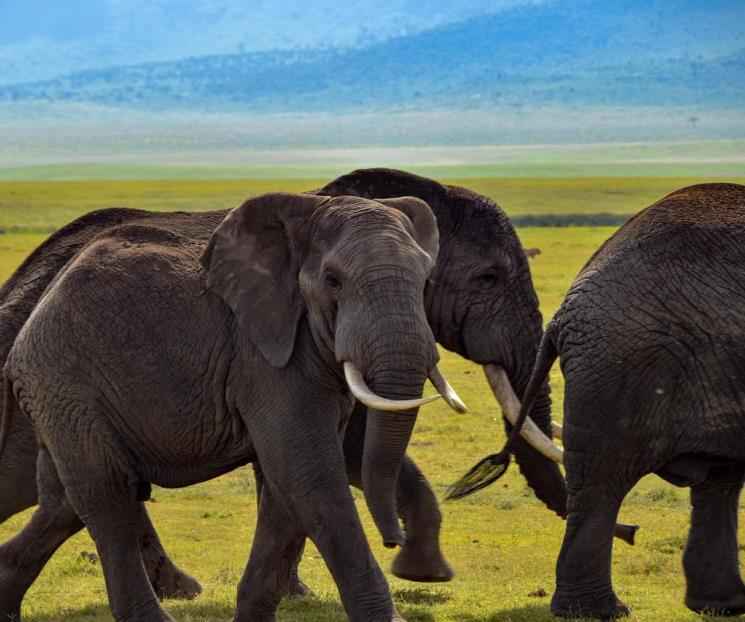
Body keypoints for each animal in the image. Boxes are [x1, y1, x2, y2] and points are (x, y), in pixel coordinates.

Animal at [0, 191, 467, 621]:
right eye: (333, 280)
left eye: (425, 282)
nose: (394, 541)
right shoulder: (261, 353)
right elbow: (308, 474)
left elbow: (285, 485)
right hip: (64, 382)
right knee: (108, 497)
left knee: (66, 501)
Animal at [454, 182, 745, 618]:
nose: (634, 532)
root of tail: (567, 309)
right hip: (623, 364)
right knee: (602, 481)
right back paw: (597, 611)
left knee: (719, 480)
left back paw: (721, 605)